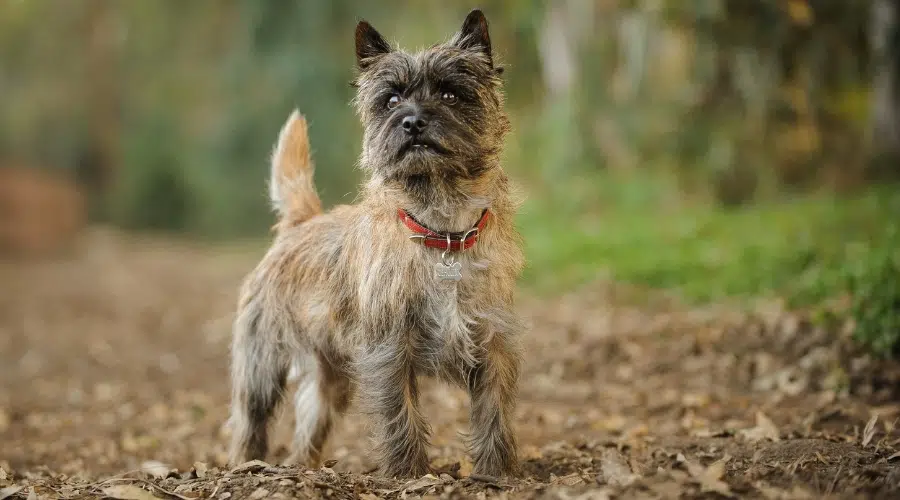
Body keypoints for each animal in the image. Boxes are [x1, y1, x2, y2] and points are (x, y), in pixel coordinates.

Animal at [229, 6, 524, 476]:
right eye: (391, 100)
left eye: (450, 94)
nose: (412, 121)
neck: (441, 230)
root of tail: (301, 222)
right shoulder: (389, 350)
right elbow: (400, 413)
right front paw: (409, 473)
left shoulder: (492, 341)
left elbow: (494, 409)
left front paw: (496, 472)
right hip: (261, 365)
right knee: (249, 421)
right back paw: (245, 465)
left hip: (328, 381)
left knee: (307, 431)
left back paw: (303, 468)